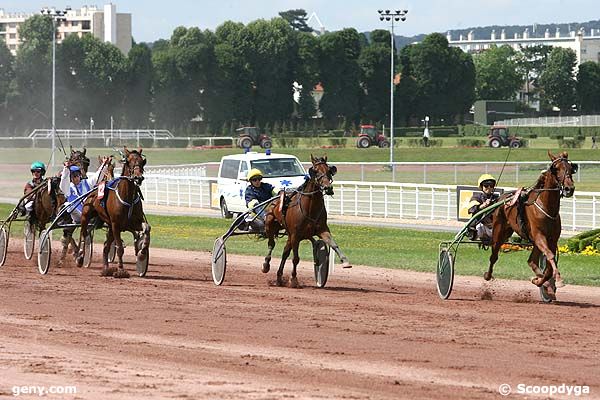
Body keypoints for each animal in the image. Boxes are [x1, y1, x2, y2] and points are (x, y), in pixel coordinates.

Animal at [77, 147, 149, 278]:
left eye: (142, 162)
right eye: (129, 161)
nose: (138, 178)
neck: (127, 197)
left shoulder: (134, 223)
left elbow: (146, 228)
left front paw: (142, 252)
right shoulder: (116, 225)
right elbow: (119, 248)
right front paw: (121, 270)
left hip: (109, 226)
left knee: (106, 246)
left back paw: (106, 269)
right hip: (86, 216)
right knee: (84, 233)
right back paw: (80, 257)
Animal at [262, 154, 352, 288]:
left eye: (329, 170)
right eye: (315, 171)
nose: (327, 188)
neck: (310, 208)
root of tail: (277, 197)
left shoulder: (322, 230)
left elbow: (333, 244)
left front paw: (345, 261)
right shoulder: (295, 235)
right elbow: (296, 258)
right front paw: (294, 279)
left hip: (290, 235)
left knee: (285, 252)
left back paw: (279, 278)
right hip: (271, 226)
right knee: (271, 244)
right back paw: (266, 265)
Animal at [482, 152, 576, 298]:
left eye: (571, 168)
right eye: (556, 168)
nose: (569, 188)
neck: (546, 207)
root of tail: (502, 198)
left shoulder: (552, 239)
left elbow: (549, 265)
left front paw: (544, 283)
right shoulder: (539, 236)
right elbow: (550, 256)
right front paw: (558, 280)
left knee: (531, 261)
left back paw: (542, 281)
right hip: (500, 231)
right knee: (494, 255)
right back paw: (488, 275)